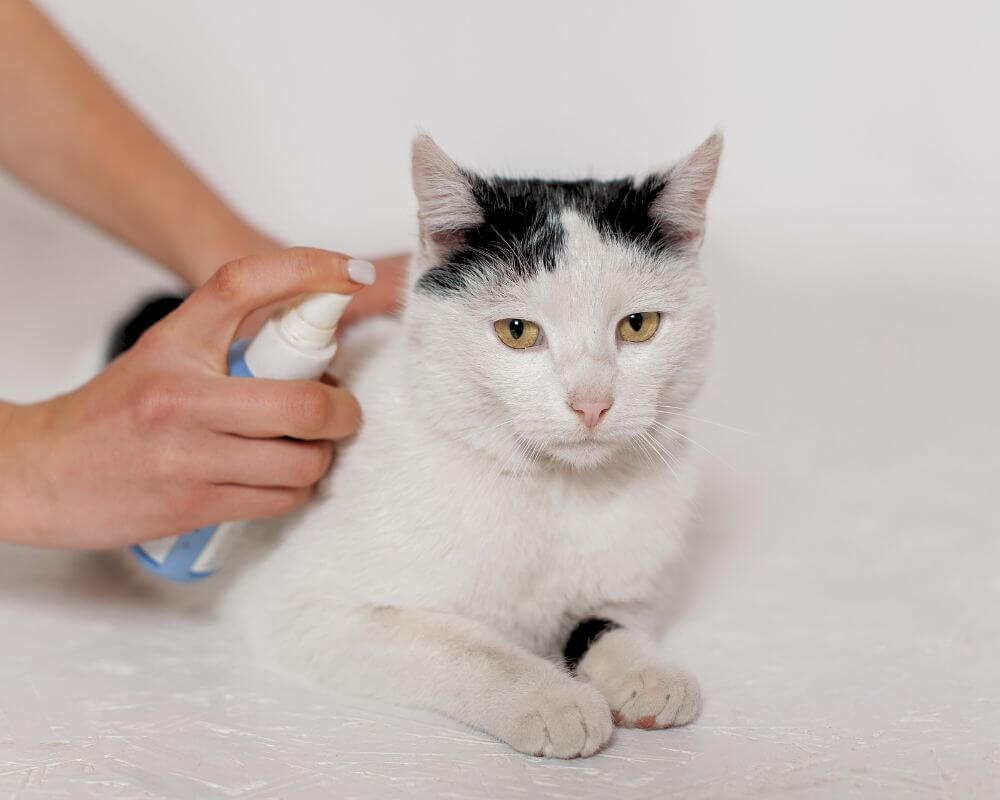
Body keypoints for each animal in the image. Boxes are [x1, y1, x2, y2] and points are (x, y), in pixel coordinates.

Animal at [139, 131, 728, 756]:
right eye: (517, 332)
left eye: (638, 325)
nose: (591, 403)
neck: (557, 491)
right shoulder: (304, 607)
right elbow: (466, 647)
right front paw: (551, 699)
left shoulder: (637, 589)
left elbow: (608, 619)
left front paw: (645, 670)